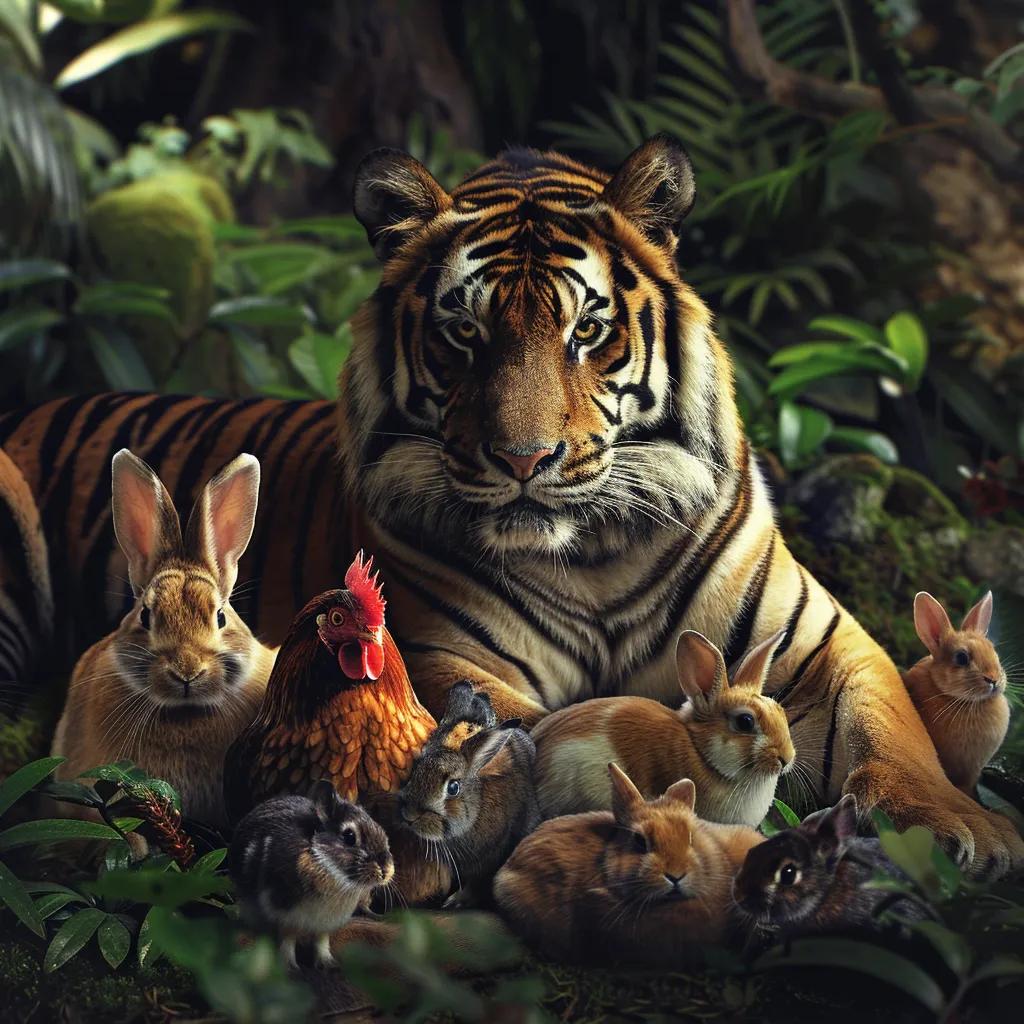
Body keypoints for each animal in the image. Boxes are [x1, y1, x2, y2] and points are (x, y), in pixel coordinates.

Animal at [229, 781, 394, 967]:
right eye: (349, 836)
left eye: (380, 830)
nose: (386, 870)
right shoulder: (285, 913)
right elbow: (288, 939)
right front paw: (289, 965)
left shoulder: (324, 924)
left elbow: (321, 941)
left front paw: (328, 963)